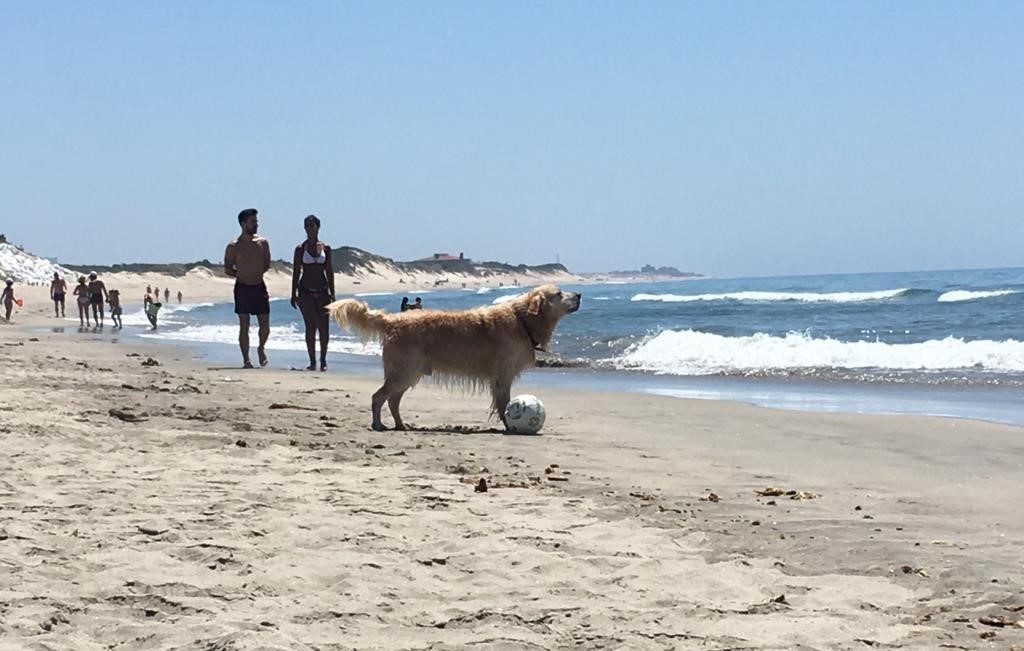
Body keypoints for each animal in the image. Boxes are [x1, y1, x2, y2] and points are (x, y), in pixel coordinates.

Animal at [327, 286, 585, 431]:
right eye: (559, 293)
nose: (580, 294)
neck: (522, 320)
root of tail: (392, 319)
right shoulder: (502, 377)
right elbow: (504, 406)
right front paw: (509, 426)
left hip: (409, 374)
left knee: (392, 400)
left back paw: (400, 425)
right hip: (404, 372)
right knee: (378, 397)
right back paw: (378, 424)